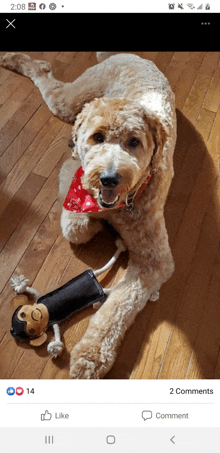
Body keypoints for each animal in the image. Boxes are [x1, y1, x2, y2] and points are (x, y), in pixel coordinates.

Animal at [0, 53, 177, 378]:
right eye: (98, 137)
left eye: (134, 142)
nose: (109, 178)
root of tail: (132, 56)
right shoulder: (79, 184)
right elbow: (75, 225)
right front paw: (88, 218)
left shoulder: (154, 261)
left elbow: (118, 307)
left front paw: (91, 356)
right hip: (73, 100)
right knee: (43, 76)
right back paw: (13, 60)